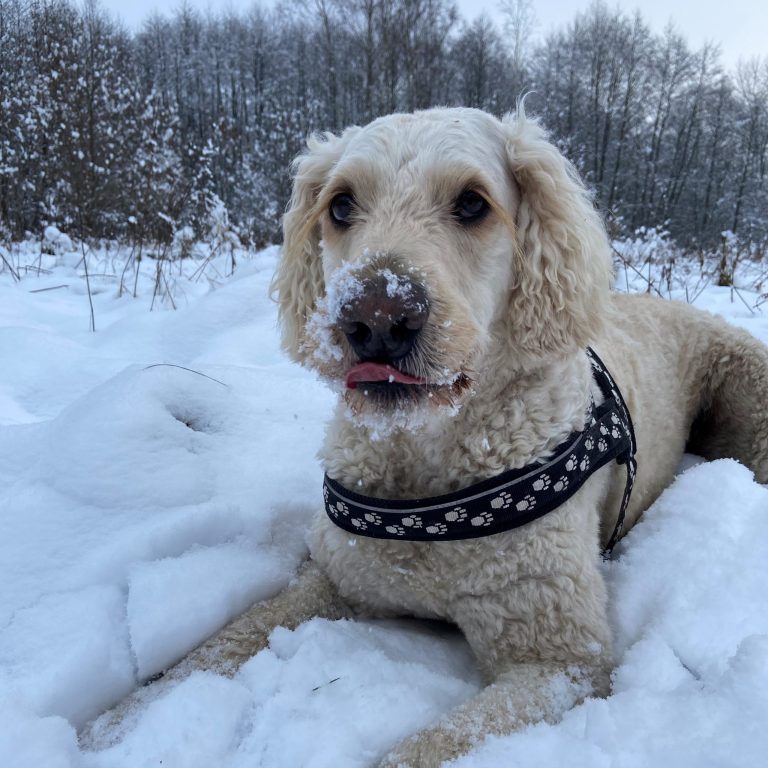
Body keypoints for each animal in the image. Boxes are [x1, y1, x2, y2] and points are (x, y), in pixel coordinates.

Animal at [82, 106, 768, 760]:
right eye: (340, 204)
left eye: (473, 202)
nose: (376, 317)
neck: (427, 459)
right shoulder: (331, 576)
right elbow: (216, 645)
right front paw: (113, 725)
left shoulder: (562, 659)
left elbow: (424, 748)